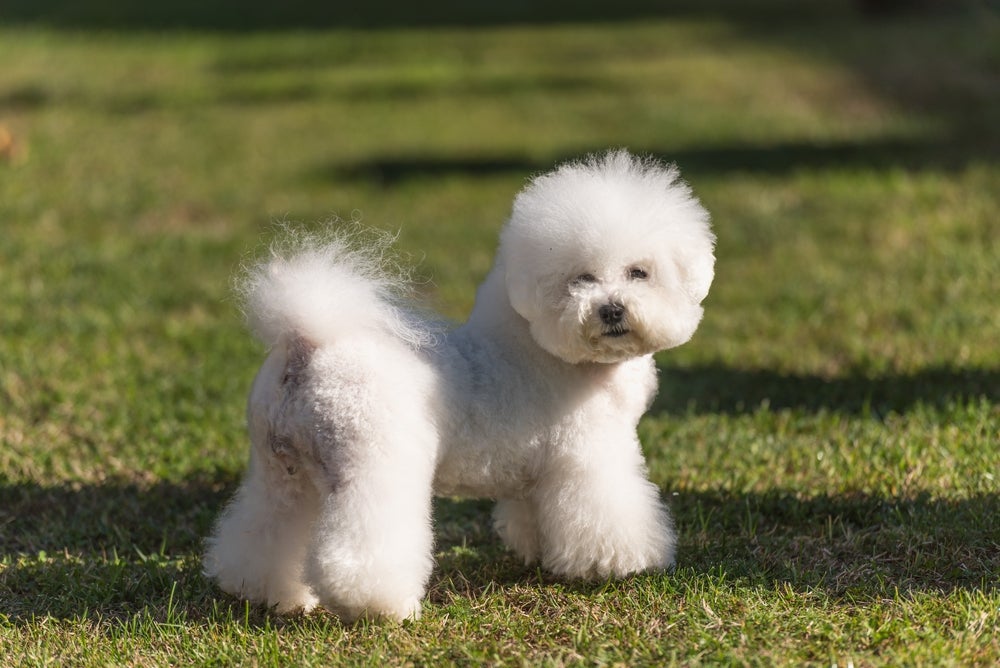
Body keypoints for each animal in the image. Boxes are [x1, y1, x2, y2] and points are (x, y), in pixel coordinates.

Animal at [203, 150, 712, 620]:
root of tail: (306, 346)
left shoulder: (539, 473)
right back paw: (380, 606)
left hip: (282, 471)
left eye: (638, 273)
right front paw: (620, 565)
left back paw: (265, 593)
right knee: (362, 544)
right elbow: (611, 516)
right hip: (371, 463)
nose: (611, 310)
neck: (548, 349)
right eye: (581, 279)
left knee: (264, 530)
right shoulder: (587, 456)